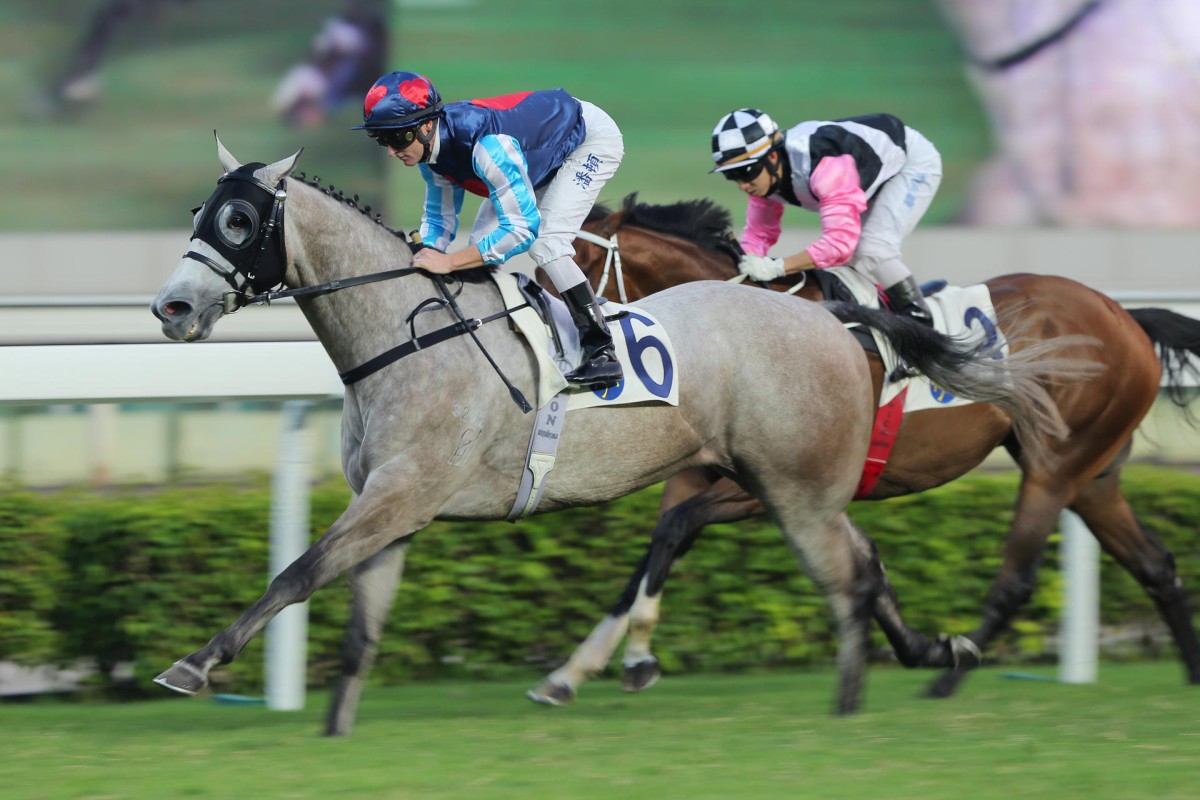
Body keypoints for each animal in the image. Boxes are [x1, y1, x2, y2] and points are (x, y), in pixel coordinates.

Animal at [147, 139, 1089, 738]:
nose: (172, 307)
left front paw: (194, 664)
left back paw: (871, 690)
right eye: (201, 210)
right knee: (866, 562)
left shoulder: (401, 494)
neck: (407, 332)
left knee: (850, 568)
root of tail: (838, 320)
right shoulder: (394, 507)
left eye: (239, 223)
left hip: (794, 483)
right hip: (795, 484)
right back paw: (932, 650)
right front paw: (337, 724)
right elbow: (355, 621)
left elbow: (297, 572)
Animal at [530, 190, 1200, 705]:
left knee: (1018, 578)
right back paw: (1189, 677)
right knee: (1154, 564)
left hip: (1055, 467)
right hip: (1093, 473)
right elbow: (659, 549)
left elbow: (676, 530)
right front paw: (574, 671)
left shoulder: (782, 484)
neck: (735, 334)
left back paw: (951, 676)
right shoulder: (707, 472)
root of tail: (1124, 315)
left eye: (568, 267)